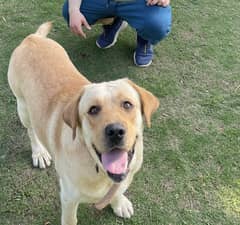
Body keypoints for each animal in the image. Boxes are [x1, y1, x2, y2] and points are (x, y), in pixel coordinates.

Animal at [7, 22, 159, 225]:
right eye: (93, 110)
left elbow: (117, 189)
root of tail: (33, 38)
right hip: (23, 107)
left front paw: (119, 202)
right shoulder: (68, 198)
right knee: (31, 131)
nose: (115, 131)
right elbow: (70, 218)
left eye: (127, 104)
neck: (99, 170)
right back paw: (39, 153)